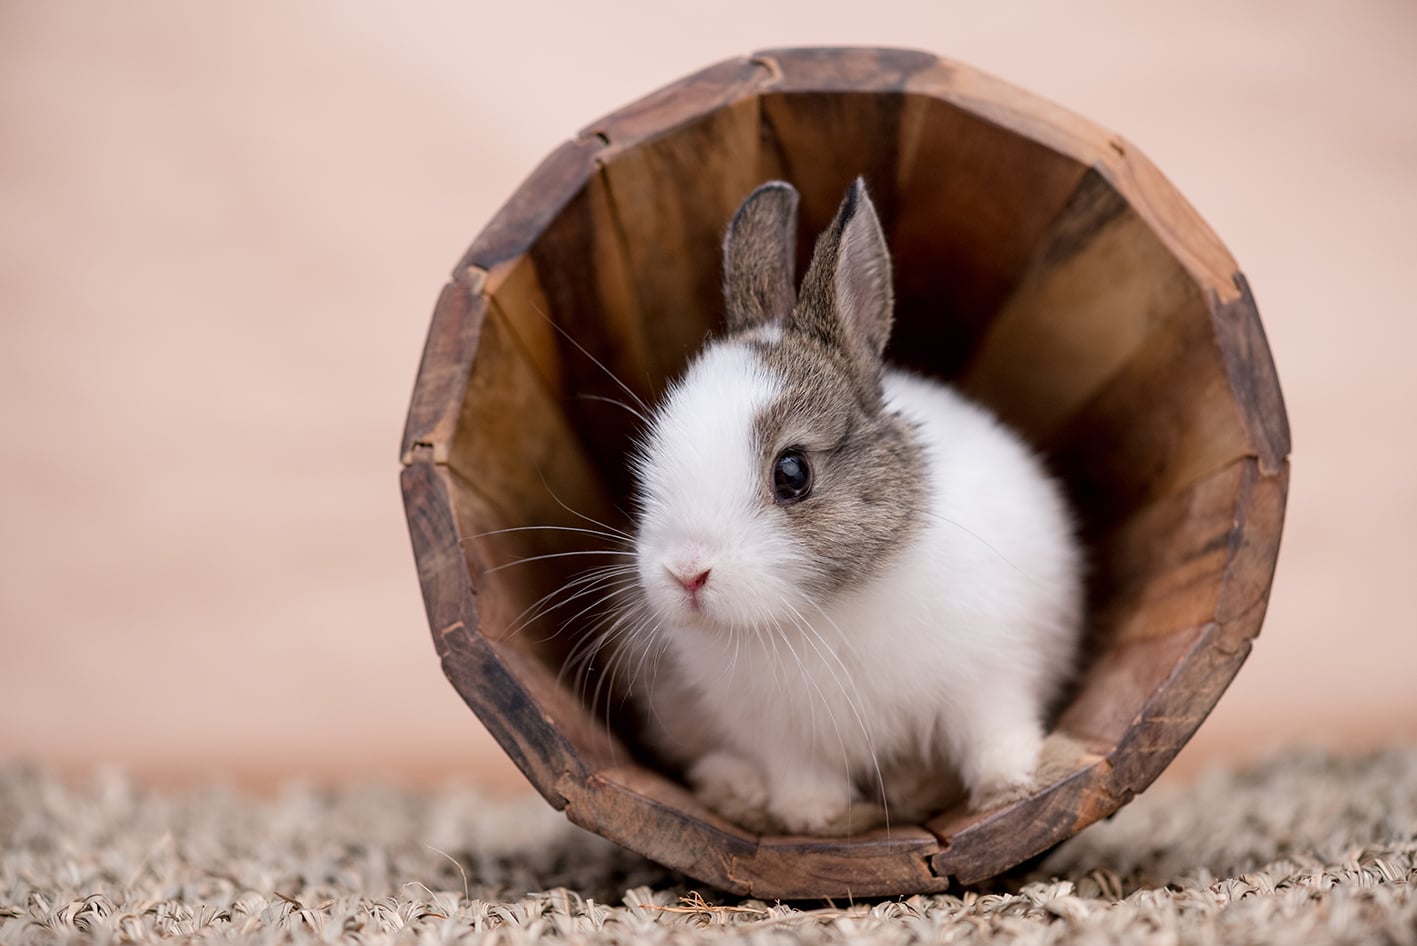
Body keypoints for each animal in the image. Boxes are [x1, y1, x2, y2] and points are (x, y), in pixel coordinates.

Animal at [621, 177, 1084, 836]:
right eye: (652, 455)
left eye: (792, 473)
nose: (686, 572)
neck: (817, 613)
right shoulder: (778, 736)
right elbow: (801, 778)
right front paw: (815, 818)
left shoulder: (991, 675)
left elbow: (992, 730)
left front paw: (1010, 783)